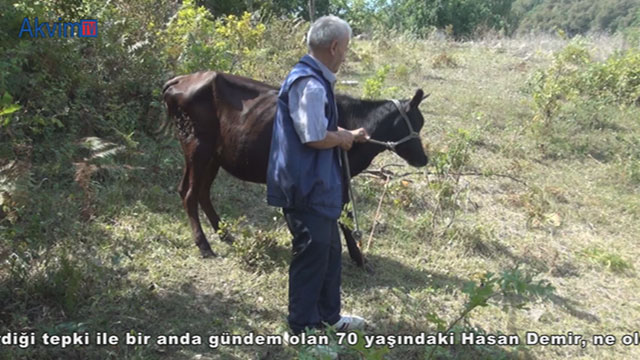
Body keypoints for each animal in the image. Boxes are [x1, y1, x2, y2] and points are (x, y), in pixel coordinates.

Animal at [162, 71, 428, 266]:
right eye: (416, 123)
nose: (423, 159)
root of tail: (181, 79)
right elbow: (343, 217)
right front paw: (357, 257)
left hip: (214, 156)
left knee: (199, 192)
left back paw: (225, 234)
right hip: (197, 147)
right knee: (189, 193)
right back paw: (204, 245)